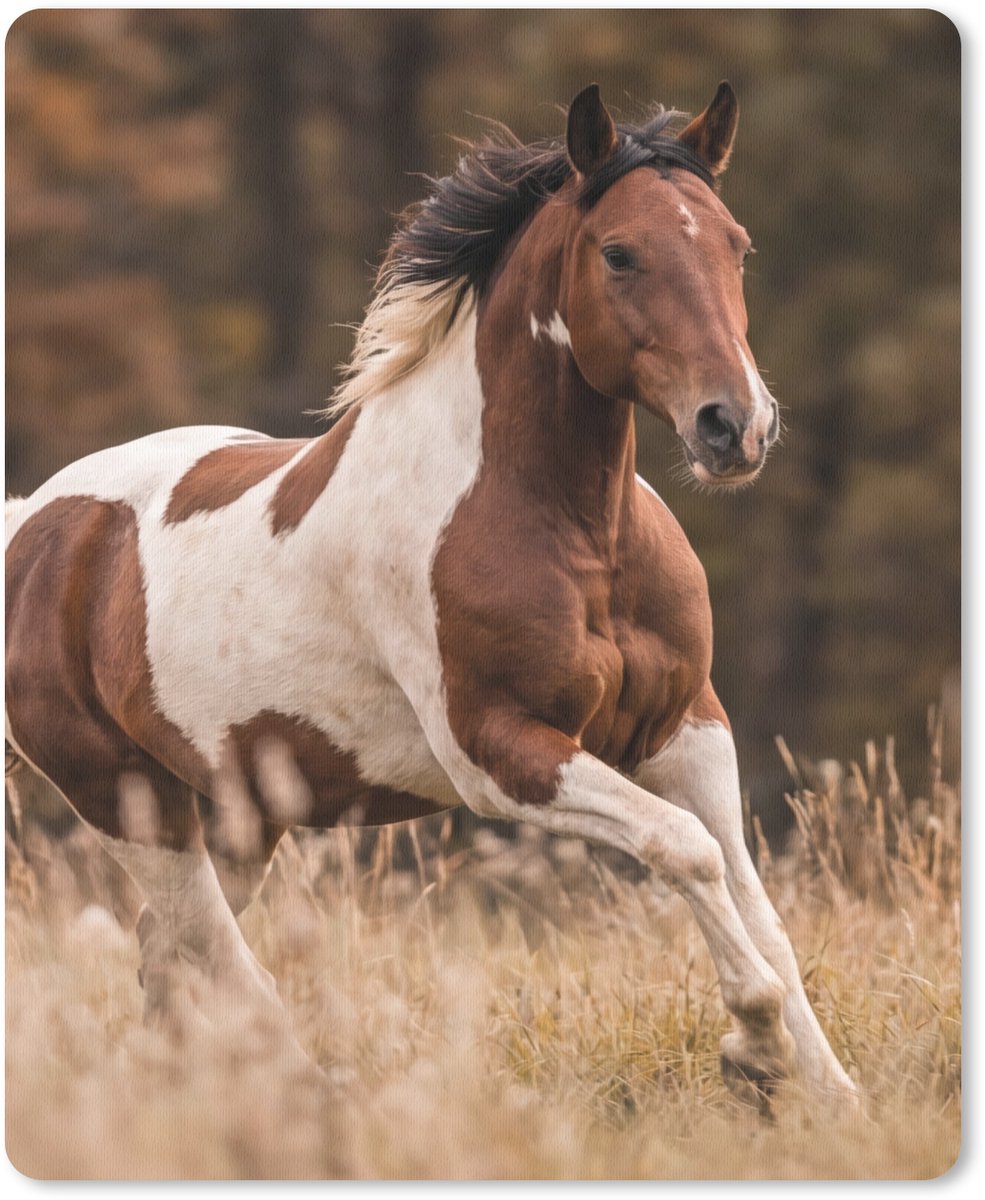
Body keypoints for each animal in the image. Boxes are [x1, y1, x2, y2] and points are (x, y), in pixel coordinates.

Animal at [5, 83, 856, 1105]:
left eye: (736, 245)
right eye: (618, 252)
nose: (734, 426)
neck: (572, 532)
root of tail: (35, 520)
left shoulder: (687, 729)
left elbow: (751, 899)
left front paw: (832, 1100)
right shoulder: (500, 753)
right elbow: (682, 847)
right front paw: (753, 1049)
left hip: (238, 812)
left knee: (169, 958)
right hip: (128, 801)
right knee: (214, 958)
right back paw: (312, 1098)